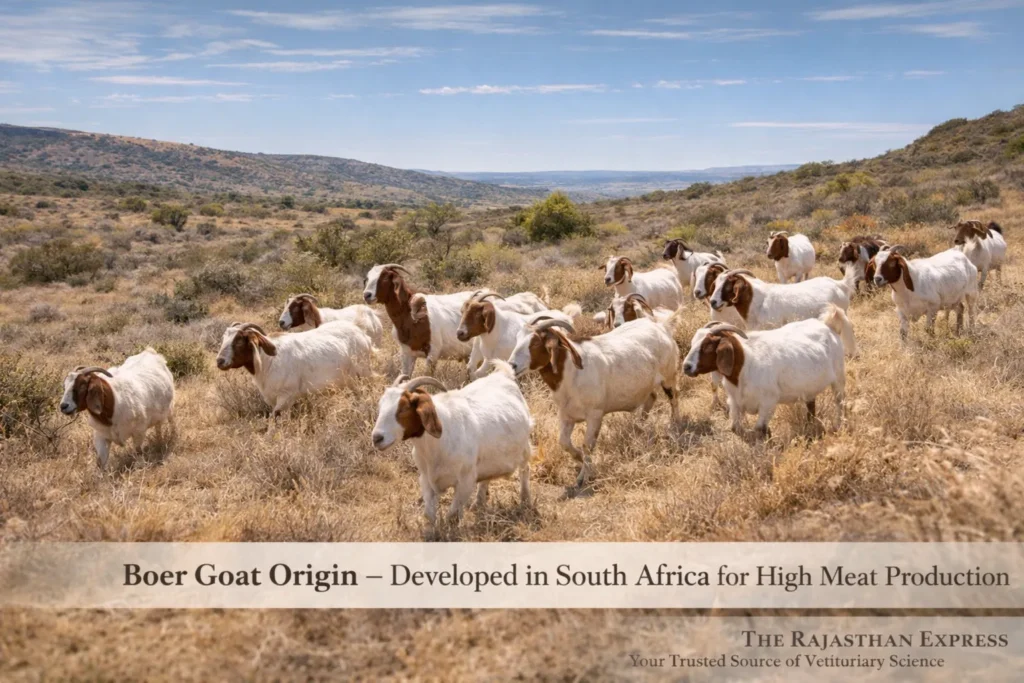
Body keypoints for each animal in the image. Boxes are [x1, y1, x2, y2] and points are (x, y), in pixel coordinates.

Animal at [215, 321, 373, 418]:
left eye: (239, 341)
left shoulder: (286, 396)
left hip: (363, 374)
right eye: (224, 339)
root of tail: (363, 334)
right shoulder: (272, 398)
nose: (220, 361)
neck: (268, 361)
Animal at [371, 363, 533, 533]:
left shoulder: (465, 482)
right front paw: (430, 533)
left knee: (525, 470)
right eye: (380, 407)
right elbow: (429, 515)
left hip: (524, 449)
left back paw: (525, 501)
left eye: (403, 408)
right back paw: (478, 504)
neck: (436, 446)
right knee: (486, 478)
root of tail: (503, 374)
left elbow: (452, 516)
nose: (377, 438)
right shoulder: (426, 479)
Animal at [509, 317, 679, 489]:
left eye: (535, 343)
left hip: (669, 377)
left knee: (674, 397)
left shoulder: (595, 415)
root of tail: (661, 325)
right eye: (517, 339)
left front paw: (584, 477)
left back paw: (674, 427)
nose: (512, 365)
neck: (571, 372)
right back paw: (639, 427)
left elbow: (587, 446)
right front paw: (578, 457)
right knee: (652, 397)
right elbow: (563, 442)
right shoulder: (566, 415)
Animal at [683, 308, 850, 439]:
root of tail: (828, 325)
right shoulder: (735, 402)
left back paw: (839, 425)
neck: (745, 366)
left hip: (839, 378)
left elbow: (760, 429)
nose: (686, 367)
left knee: (839, 402)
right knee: (811, 406)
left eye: (707, 346)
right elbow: (735, 428)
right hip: (809, 389)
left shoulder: (768, 403)